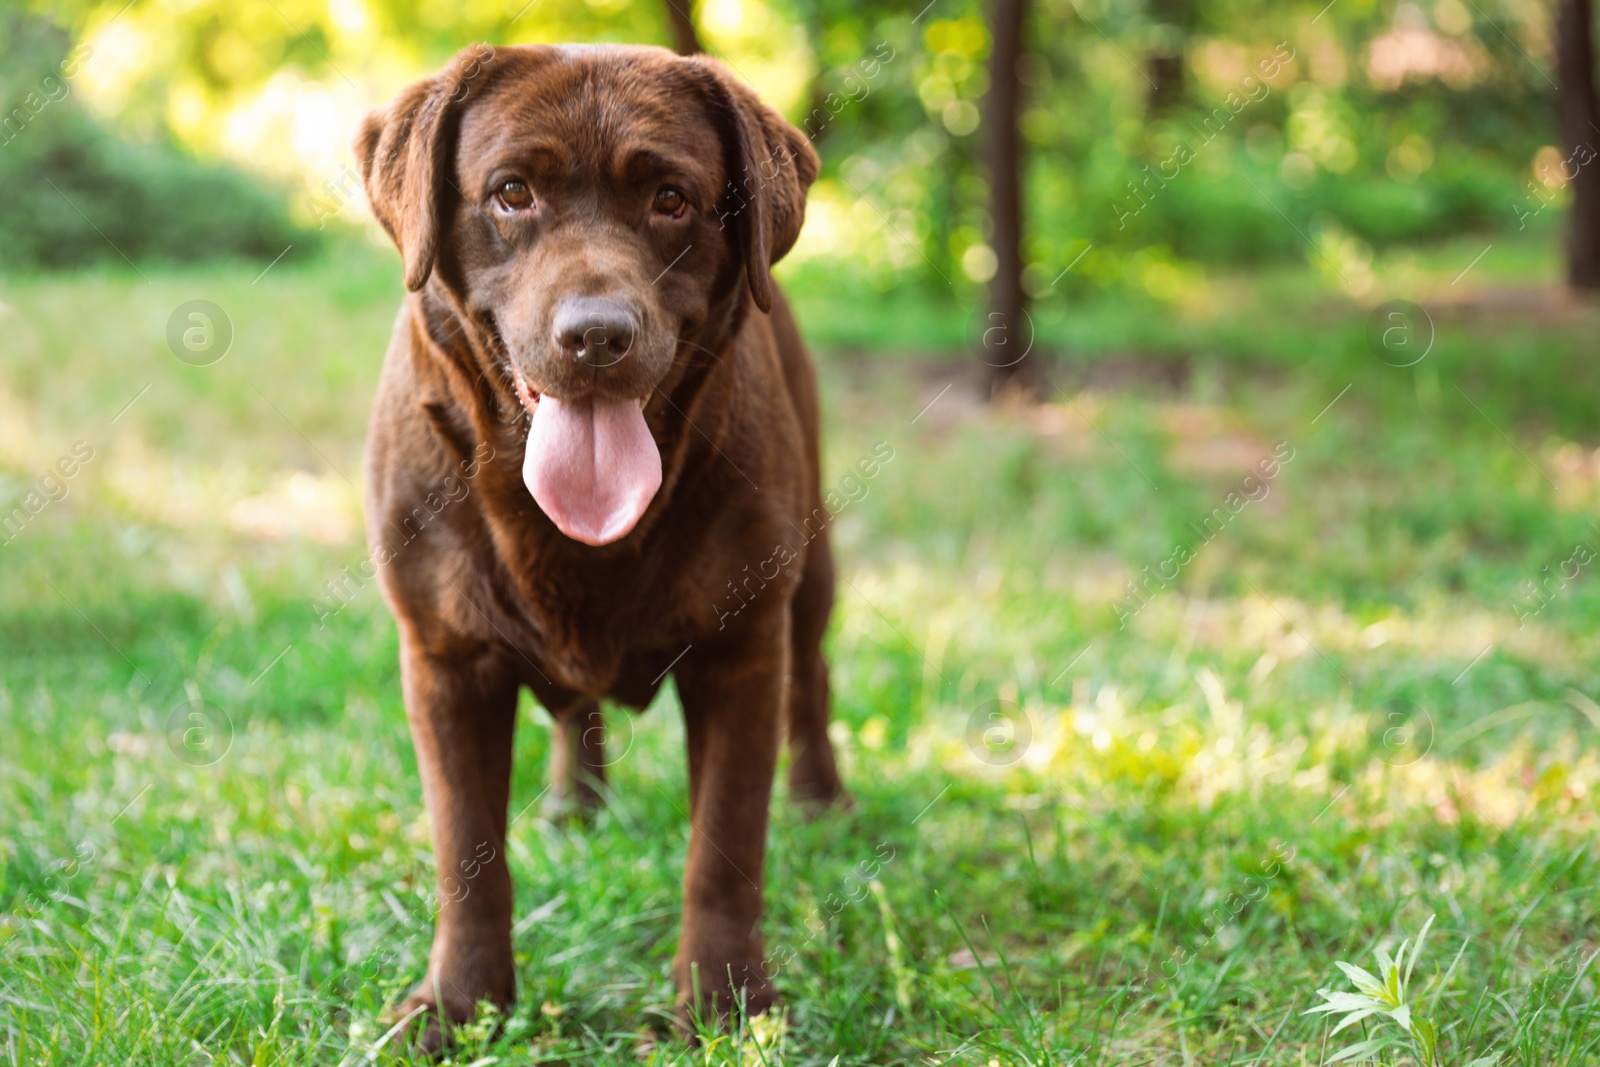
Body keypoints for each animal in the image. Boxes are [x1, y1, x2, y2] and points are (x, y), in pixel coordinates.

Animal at [355, 43, 844, 1049]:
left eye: (671, 198)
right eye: (511, 193)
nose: (596, 335)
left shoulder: (743, 649)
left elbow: (724, 845)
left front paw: (727, 1002)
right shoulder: (444, 655)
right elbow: (467, 848)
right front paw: (459, 1003)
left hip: (810, 565)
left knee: (812, 673)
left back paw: (823, 801)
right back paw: (575, 805)